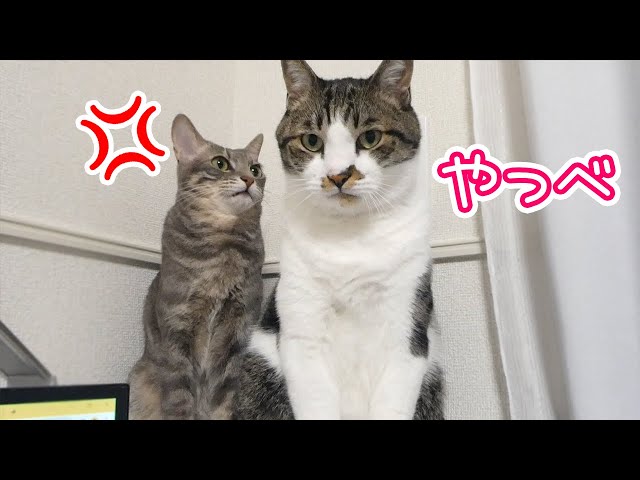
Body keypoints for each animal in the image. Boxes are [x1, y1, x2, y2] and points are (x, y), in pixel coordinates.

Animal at [128, 113, 266, 420]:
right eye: (220, 163)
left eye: (256, 168)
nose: (250, 178)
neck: (224, 244)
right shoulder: (178, 328)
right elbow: (180, 398)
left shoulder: (237, 331)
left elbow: (225, 399)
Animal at [234, 60, 443, 420]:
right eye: (311, 141)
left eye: (371, 137)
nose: (338, 175)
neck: (350, 237)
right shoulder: (302, 333)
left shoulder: (406, 331)